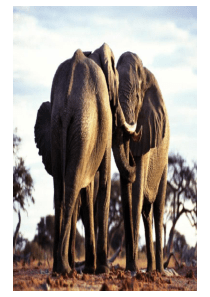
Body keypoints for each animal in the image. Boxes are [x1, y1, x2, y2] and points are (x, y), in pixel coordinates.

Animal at [34, 43, 136, 272]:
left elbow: (88, 189)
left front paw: (91, 269)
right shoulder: (104, 121)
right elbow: (104, 181)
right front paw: (102, 270)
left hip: (60, 128)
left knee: (61, 187)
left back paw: (60, 266)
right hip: (84, 127)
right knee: (72, 184)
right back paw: (65, 268)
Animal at [112, 51, 170, 272]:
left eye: (137, 97)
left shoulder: (149, 129)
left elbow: (136, 187)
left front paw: (133, 268)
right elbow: (127, 191)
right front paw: (131, 267)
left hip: (165, 163)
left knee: (158, 209)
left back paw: (160, 271)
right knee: (146, 212)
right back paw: (151, 269)